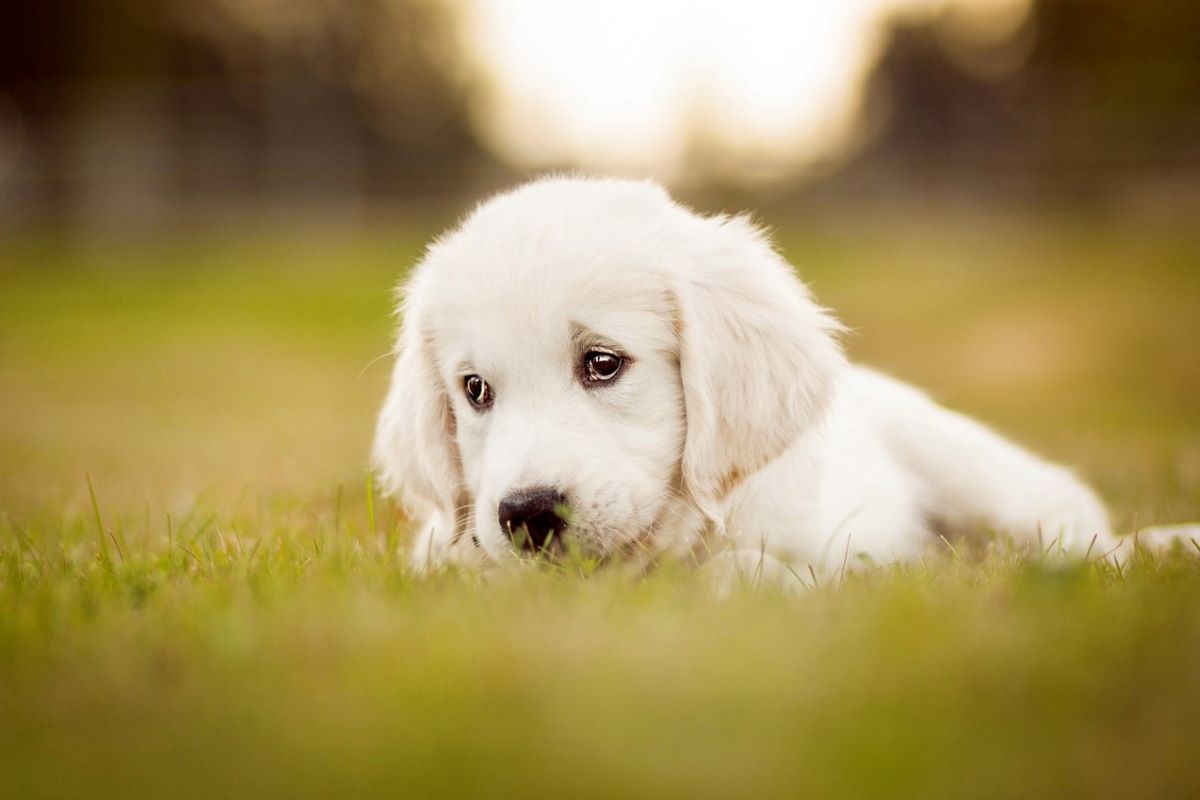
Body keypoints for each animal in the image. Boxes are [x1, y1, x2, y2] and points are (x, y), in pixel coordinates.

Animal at [374, 176, 1190, 582]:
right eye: (475, 390)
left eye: (602, 362)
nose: (527, 515)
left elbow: (750, 571)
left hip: (982, 475)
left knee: (1077, 532)